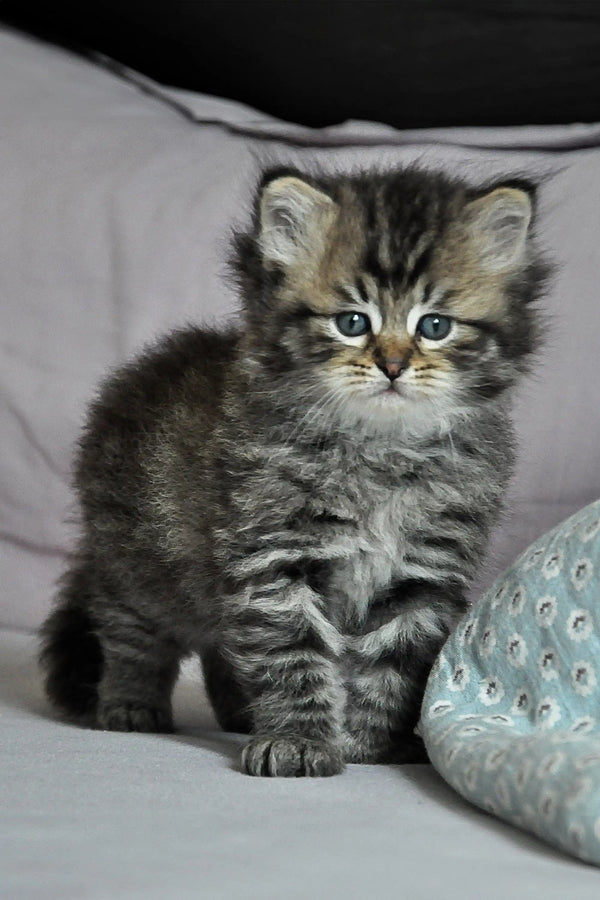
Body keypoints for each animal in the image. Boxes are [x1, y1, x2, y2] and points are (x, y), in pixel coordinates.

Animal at [39, 167, 548, 772]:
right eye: (352, 322)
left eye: (435, 326)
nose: (393, 365)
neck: (382, 451)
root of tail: (138, 375)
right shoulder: (274, 556)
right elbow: (294, 654)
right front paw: (298, 740)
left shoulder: (423, 571)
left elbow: (393, 665)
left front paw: (373, 744)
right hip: (135, 566)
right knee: (131, 636)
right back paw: (129, 706)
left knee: (219, 645)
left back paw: (239, 713)